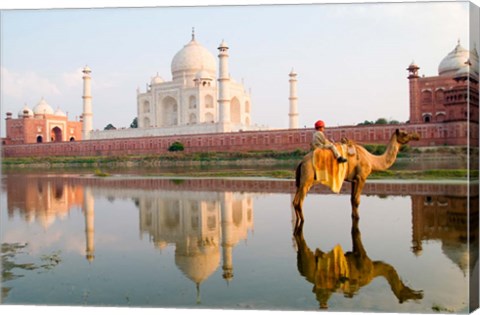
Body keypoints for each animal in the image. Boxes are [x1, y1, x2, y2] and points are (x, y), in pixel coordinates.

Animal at [290, 128, 418, 222]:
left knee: (295, 201)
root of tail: (301, 162)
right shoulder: (362, 177)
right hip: (307, 178)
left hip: (301, 180)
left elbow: (352, 199)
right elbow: (357, 200)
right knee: (299, 202)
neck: (371, 160)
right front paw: (358, 218)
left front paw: (353, 216)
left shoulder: (354, 180)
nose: (417, 136)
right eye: (405, 133)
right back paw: (302, 221)